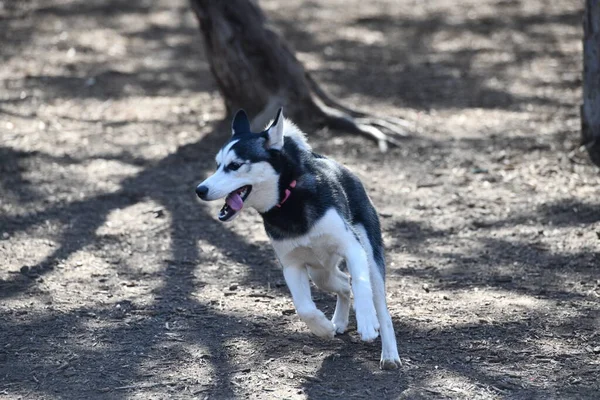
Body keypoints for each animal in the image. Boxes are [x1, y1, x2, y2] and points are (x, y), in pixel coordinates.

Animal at [197, 108, 400, 368]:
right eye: (217, 165)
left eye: (234, 165)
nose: (200, 190)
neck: (288, 200)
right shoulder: (292, 265)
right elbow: (304, 308)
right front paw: (323, 328)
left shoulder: (353, 248)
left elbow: (361, 285)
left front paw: (366, 321)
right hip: (320, 273)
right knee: (344, 283)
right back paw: (339, 321)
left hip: (369, 258)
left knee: (378, 302)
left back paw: (389, 353)